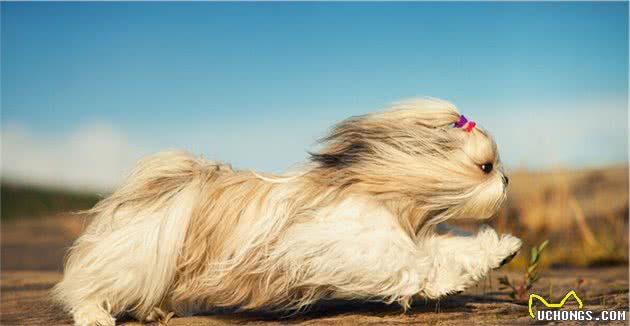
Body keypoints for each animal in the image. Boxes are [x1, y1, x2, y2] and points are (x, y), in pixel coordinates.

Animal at [55, 98, 524, 324]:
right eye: (486, 166)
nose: (506, 180)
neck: (383, 190)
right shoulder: (356, 246)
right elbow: (418, 268)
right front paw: (445, 282)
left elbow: (451, 249)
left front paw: (504, 249)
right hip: (136, 256)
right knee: (86, 288)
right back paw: (95, 316)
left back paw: (152, 311)